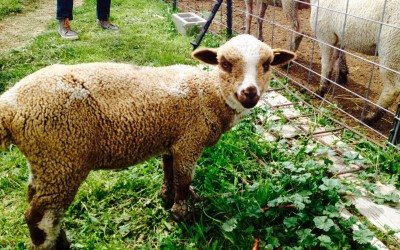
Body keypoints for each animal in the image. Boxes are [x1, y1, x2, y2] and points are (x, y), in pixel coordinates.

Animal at [0, 33, 294, 250]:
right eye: (225, 64)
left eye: (267, 64)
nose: (250, 93)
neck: (210, 93)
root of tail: (10, 107)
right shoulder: (190, 140)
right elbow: (184, 179)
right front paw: (182, 214)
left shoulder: (172, 139)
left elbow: (168, 170)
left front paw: (166, 196)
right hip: (62, 156)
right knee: (40, 216)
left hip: (44, 159)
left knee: (38, 204)